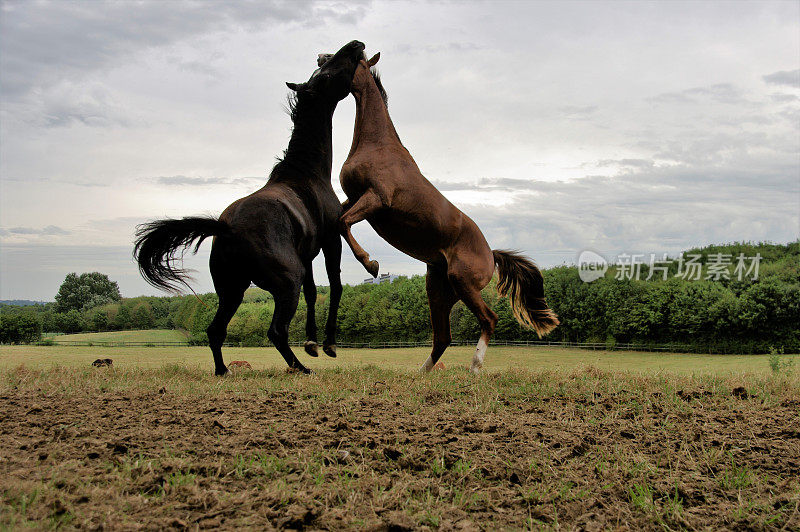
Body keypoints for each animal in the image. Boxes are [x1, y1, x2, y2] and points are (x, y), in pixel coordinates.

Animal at [133, 40, 368, 374]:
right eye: (326, 72)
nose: (355, 45)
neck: (306, 172)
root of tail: (225, 227)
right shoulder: (330, 240)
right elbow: (334, 286)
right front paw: (327, 345)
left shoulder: (306, 255)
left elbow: (313, 293)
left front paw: (311, 343)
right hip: (285, 283)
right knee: (276, 331)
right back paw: (300, 369)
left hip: (232, 289)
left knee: (216, 330)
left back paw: (224, 371)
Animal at [336, 52, 556, 372]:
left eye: (352, 60)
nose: (321, 60)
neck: (377, 146)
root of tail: (491, 254)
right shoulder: (353, 198)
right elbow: (338, 219)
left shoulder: (375, 199)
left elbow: (344, 223)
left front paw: (371, 264)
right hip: (439, 291)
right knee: (443, 336)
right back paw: (422, 373)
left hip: (463, 283)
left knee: (488, 319)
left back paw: (474, 366)